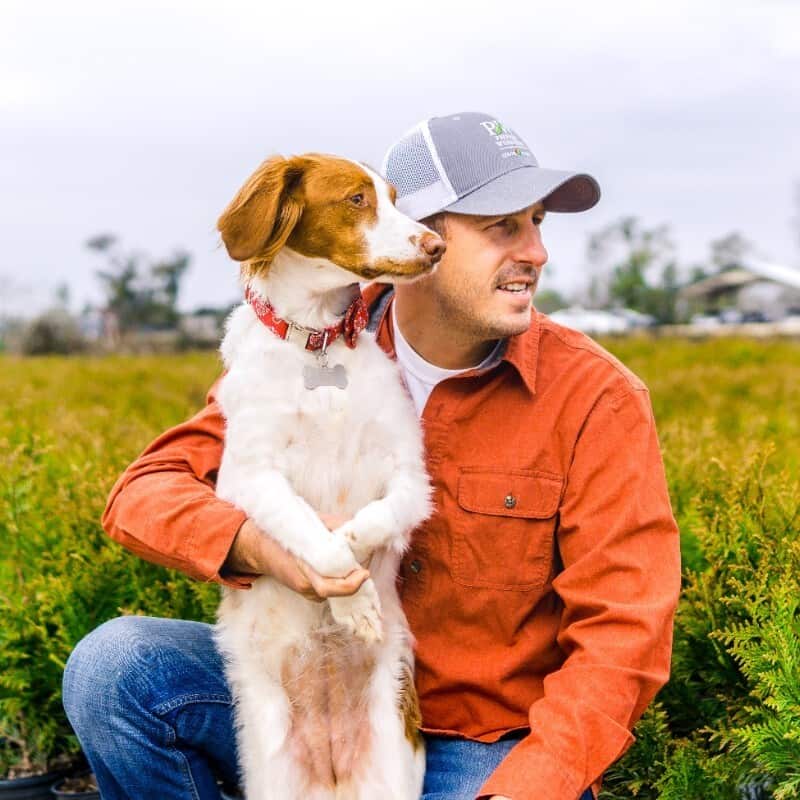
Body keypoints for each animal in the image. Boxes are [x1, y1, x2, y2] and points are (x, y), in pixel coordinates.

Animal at [212, 152, 444, 800]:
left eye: (394, 197)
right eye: (356, 199)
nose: (436, 246)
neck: (316, 343)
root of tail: (335, 772)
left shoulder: (411, 480)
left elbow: (365, 524)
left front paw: (358, 590)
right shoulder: (249, 478)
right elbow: (312, 531)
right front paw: (353, 600)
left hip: (393, 769)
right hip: (272, 777)